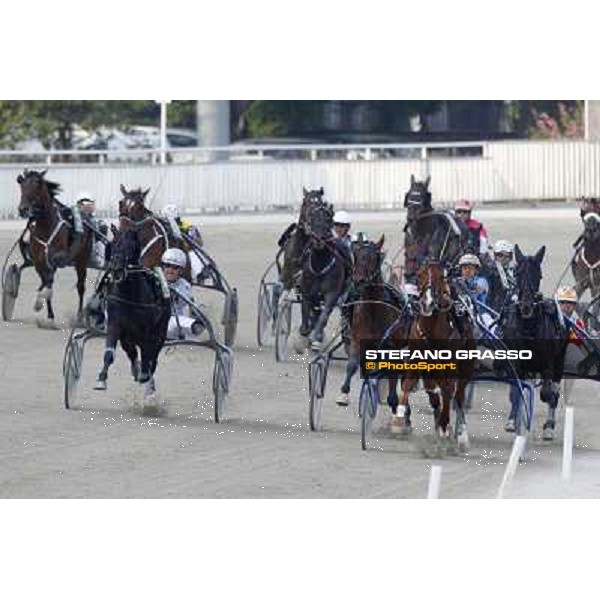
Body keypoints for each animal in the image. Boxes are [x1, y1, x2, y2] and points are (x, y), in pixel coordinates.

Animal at [17, 169, 92, 326]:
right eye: (22, 185)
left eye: (38, 185)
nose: (23, 209)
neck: (45, 227)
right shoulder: (38, 262)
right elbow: (45, 281)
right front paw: (49, 314)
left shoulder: (58, 257)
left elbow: (49, 279)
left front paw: (41, 299)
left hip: (82, 259)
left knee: (81, 286)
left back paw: (79, 316)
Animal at [92, 220, 171, 412]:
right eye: (114, 245)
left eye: (132, 246)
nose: (117, 270)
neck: (130, 293)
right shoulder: (115, 325)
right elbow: (109, 353)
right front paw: (101, 380)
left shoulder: (148, 332)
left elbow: (148, 358)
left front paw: (145, 379)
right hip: (128, 338)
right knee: (133, 354)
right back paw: (137, 371)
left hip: (160, 332)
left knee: (152, 359)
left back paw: (147, 384)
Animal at [296, 197, 352, 350]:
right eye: (312, 218)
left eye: (327, 219)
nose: (318, 240)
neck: (320, 265)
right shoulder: (308, 292)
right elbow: (306, 316)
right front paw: (303, 337)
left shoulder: (332, 293)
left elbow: (324, 316)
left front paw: (316, 337)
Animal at [396, 262, 476, 450]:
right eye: (419, 275)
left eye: (441, 277)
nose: (428, 303)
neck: (431, 331)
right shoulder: (417, 360)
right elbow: (408, 385)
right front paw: (400, 419)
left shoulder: (450, 367)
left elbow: (448, 392)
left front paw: (445, 427)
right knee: (436, 393)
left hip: (466, 368)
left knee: (458, 396)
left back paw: (460, 435)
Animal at [502, 245, 568, 440]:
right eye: (517, 273)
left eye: (538, 275)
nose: (526, 306)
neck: (528, 327)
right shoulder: (515, 362)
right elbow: (516, 391)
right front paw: (513, 422)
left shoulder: (548, 363)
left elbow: (547, 392)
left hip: (559, 360)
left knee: (553, 387)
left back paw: (549, 425)